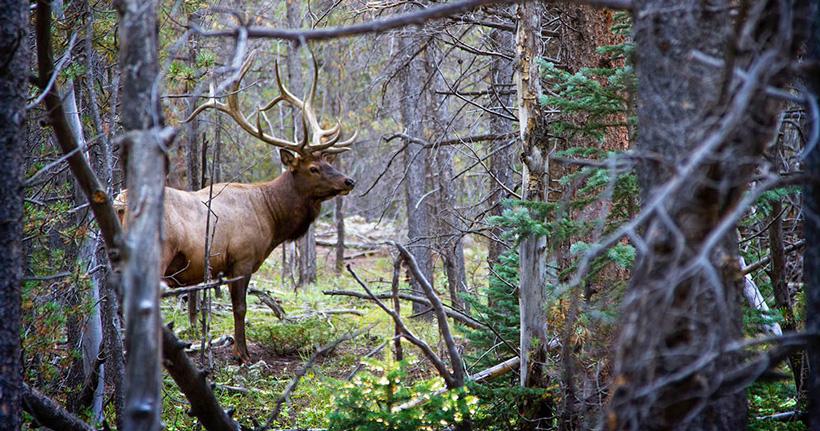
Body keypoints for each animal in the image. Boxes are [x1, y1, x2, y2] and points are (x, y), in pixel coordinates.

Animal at [116, 50, 356, 363]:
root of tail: (121, 202)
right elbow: (240, 308)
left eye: (328, 161)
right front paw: (242, 354)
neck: (271, 216)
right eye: (313, 168)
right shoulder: (242, 259)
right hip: (160, 253)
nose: (349, 181)